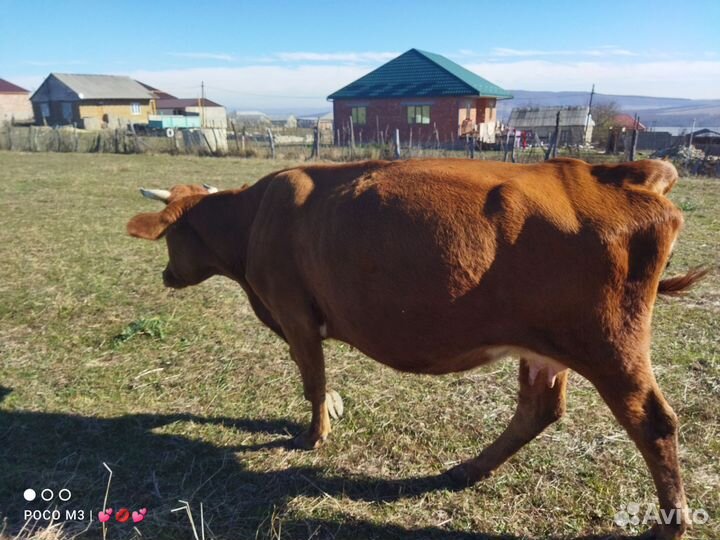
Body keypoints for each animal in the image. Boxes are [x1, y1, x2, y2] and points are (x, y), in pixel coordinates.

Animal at [127, 158, 705, 539]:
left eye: (171, 238)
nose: (166, 275)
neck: (254, 219)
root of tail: (618, 172)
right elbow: (319, 377)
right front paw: (333, 409)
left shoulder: (294, 314)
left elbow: (311, 376)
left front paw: (314, 434)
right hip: (547, 346)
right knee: (538, 409)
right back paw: (468, 470)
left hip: (610, 348)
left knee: (654, 424)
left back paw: (668, 527)